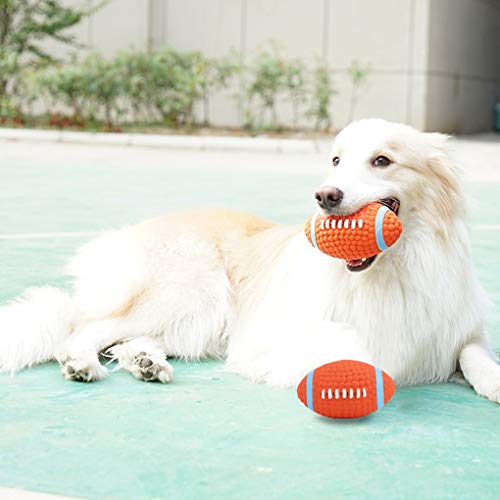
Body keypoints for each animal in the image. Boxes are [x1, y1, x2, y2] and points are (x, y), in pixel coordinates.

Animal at [0, 119, 500, 404]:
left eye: (382, 161)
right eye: (336, 161)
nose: (324, 196)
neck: (391, 270)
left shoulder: (457, 331)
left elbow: (472, 354)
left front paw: (493, 382)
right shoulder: (275, 338)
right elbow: (353, 350)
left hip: (195, 318)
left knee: (124, 341)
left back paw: (146, 363)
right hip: (192, 292)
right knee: (84, 330)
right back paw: (82, 363)